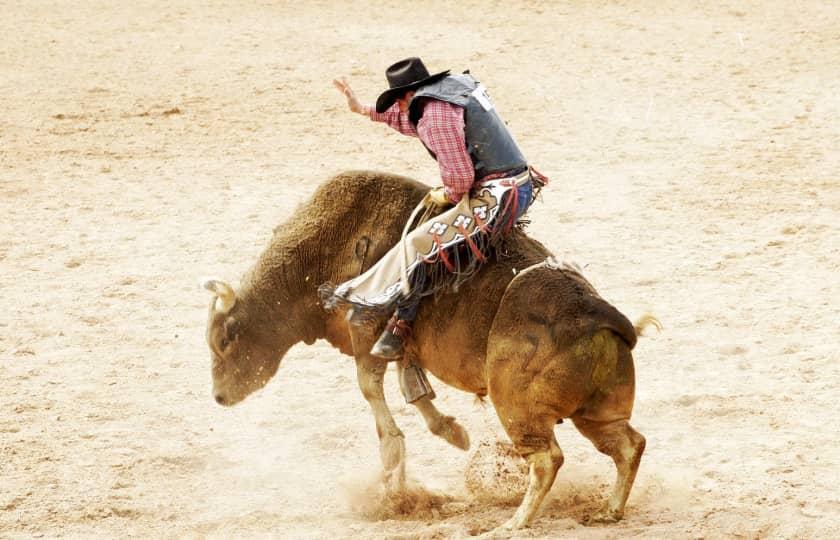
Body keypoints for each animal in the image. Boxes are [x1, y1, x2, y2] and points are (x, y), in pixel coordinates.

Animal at [200, 170, 652, 532]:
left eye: (224, 340)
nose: (219, 397)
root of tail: (598, 315)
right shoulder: (401, 345)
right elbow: (413, 388)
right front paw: (451, 431)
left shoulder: (366, 328)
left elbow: (371, 388)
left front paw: (394, 463)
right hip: (596, 413)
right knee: (629, 445)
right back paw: (608, 510)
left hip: (519, 409)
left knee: (547, 460)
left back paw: (515, 523)